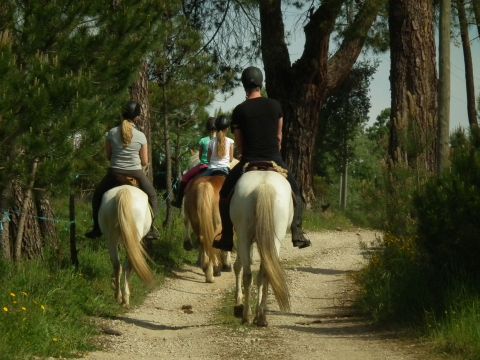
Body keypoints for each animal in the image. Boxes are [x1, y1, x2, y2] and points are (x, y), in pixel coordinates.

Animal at [230, 170, 292, 324]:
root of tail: (263, 186)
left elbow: (240, 266)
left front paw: (239, 302)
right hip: (273, 240)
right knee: (263, 272)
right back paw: (259, 316)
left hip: (245, 236)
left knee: (249, 274)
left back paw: (250, 315)